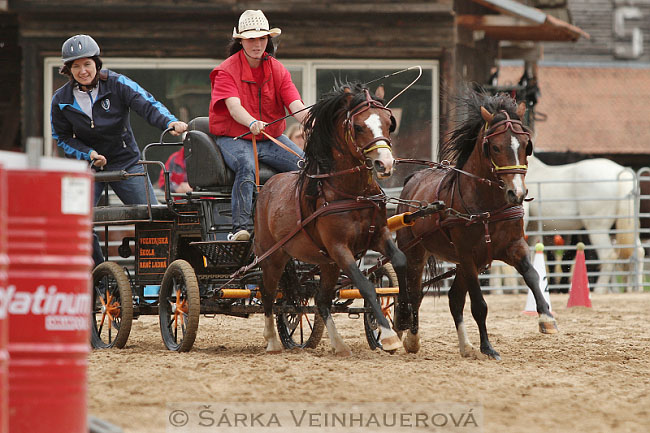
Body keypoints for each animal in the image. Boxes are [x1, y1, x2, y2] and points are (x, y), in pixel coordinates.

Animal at [253, 82, 404, 356]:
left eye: (389, 123)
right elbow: (366, 286)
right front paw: (388, 336)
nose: (385, 164)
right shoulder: (339, 248)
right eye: (358, 127)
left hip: (326, 263)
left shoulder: (378, 236)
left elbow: (401, 262)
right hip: (273, 256)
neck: (352, 193)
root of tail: (265, 187)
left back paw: (339, 344)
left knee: (321, 300)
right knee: (268, 293)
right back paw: (271, 341)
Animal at [392, 89, 556, 360]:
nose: (517, 193)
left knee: (453, 299)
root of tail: (413, 179)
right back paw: (411, 338)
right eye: (495, 147)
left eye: (526, 146)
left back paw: (465, 345)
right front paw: (487, 347)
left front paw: (547, 318)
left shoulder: (513, 247)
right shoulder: (468, 255)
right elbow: (479, 305)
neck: (488, 207)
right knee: (413, 293)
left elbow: (532, 275)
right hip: (416, 252)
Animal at [520, 154, 644, 292]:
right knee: (638, 252)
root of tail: (619, 172)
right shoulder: (534, 228)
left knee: (608, 255)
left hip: (597, 228)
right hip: (625, 228)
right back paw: (635, 288)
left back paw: (600, 289)